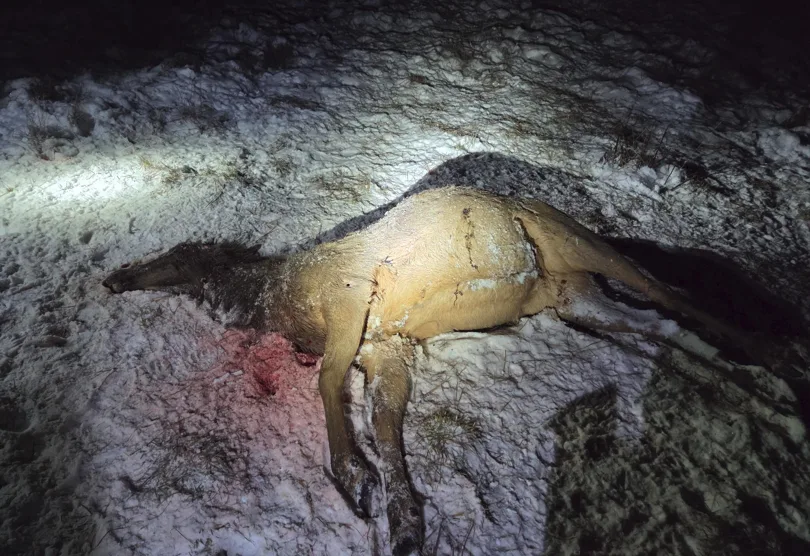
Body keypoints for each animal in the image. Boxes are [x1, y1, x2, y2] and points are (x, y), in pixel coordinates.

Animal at [103, 186, 777, 555]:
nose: (111, 278)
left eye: (163, 257)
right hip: (573, 296)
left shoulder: (349, 299)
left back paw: (773, 361)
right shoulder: (385, 346)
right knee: (661, 327)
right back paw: (755, 391)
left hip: (577, 242)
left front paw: (352, 478)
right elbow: (385, 421)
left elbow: (326, 383)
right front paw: (400, 522)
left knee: (672, 293)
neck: (280, 299)